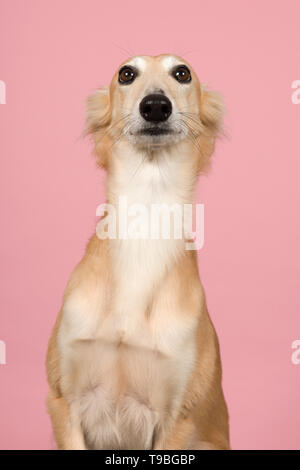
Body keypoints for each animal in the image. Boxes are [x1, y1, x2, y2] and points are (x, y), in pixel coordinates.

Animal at [46, 53, 230, 450]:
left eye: (182, 73)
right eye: (127, 74)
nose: (156, 106)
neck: (146, 210)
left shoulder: (178, 418)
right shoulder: (63, 400)